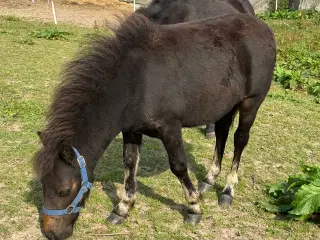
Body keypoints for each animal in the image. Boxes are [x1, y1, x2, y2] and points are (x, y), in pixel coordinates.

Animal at [33, 13, 276, 240]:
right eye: (43, 184)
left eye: (63, 190)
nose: (51, 233)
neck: (136, 81)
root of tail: (263, 27)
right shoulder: (132, 130)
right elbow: (130, 165)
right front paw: (122, 208)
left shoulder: (170, 128)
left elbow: (179, 166)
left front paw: (194, 208)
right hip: (225, 105)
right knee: (221, 134)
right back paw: (208, 180)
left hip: (250, 103)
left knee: (240, 139)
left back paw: (227, 191)